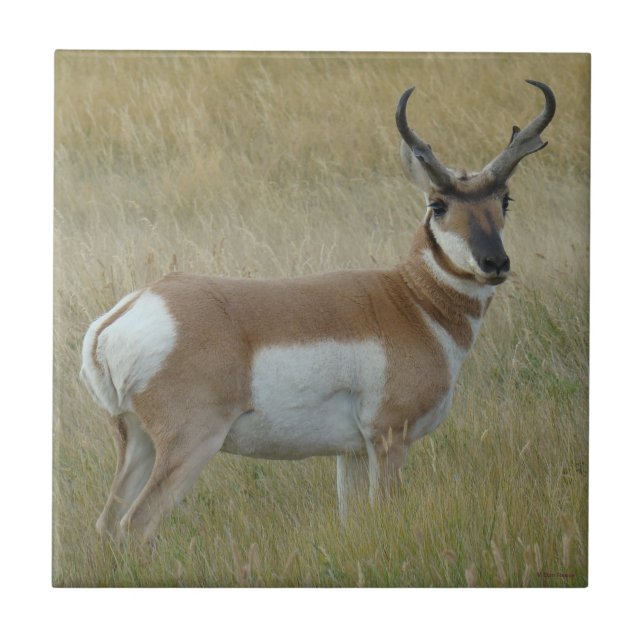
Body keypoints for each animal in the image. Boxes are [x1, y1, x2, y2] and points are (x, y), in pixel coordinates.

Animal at [80, 80, 555, 542]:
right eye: (438, 204)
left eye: (505, 200)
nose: (495, 263)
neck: (411, 302)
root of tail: (125, 315)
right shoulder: (389, 439)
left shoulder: (351, 452)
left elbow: (354, 519)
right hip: (191, 445)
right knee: (136, 524)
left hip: (138, 442)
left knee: (107, 523)